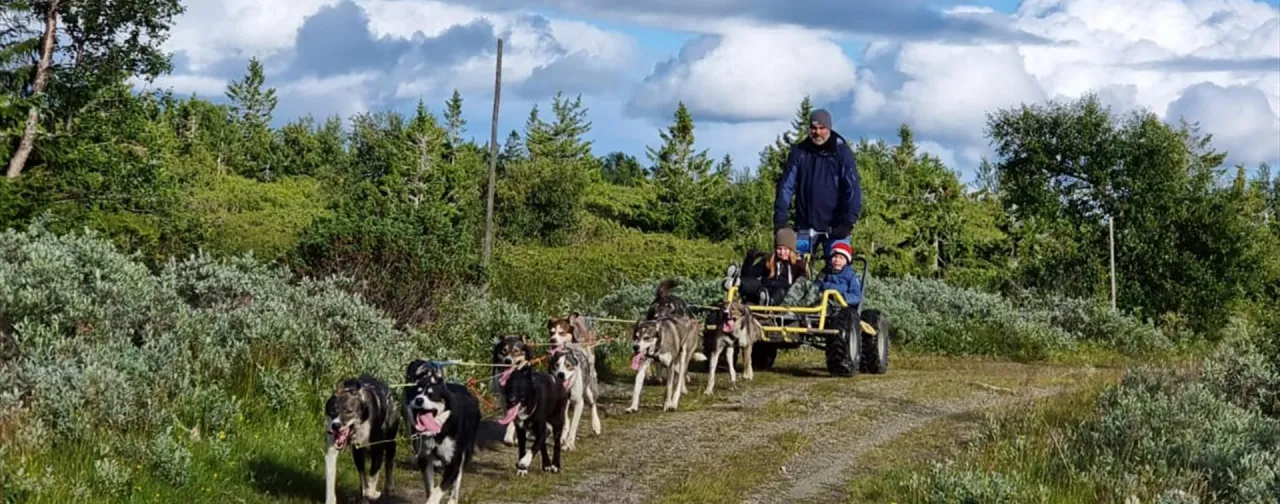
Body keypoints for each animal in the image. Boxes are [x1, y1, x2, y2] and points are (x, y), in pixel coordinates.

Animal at [404, 358, 481, 504]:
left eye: (432, 395)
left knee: (457, 482)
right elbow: (430, 488)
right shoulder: (424, 459)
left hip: (465, 452)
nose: (419, 400)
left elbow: (438, 491)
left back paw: (453, 499)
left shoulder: (453, 463)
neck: (437, 433)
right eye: (416, 393)